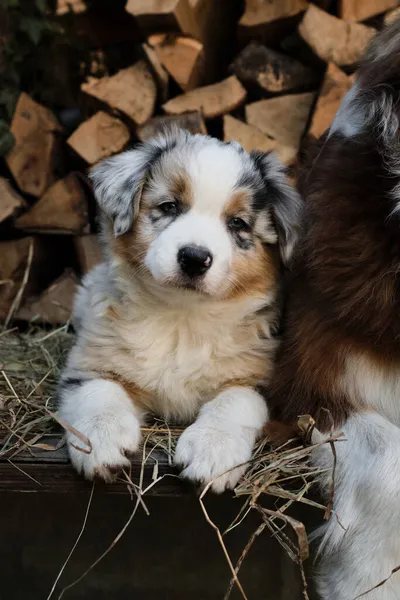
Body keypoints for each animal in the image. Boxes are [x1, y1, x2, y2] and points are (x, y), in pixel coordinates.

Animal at [57, 130, 298, 492]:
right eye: (169, 206)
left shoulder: (257, 377)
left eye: (237, 223)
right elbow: (99, 391)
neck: (181, 319)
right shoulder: (92, 360)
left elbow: (234, 401)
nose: (195, 258)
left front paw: (212, 451)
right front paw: (101, 440)